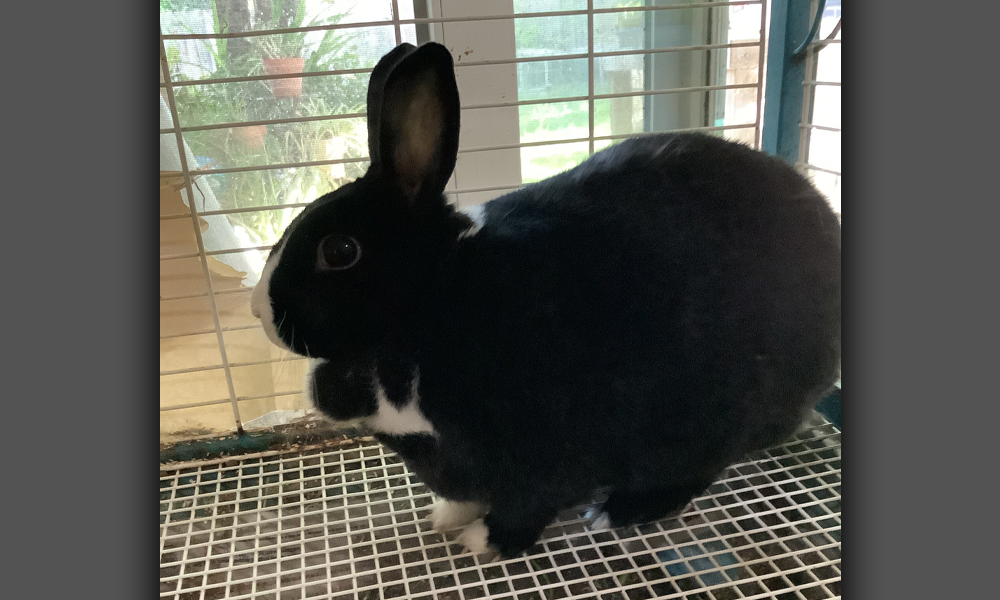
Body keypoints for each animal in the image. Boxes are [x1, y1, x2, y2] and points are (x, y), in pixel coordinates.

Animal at [248, 42, 836, 556]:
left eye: (339, 250)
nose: (258, 312)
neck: (433, 306)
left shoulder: (545, 446)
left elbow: (530, 503)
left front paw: (484, 540)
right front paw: (446, 516)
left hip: (705, 418)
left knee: (691, 472)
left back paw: (616, 511)